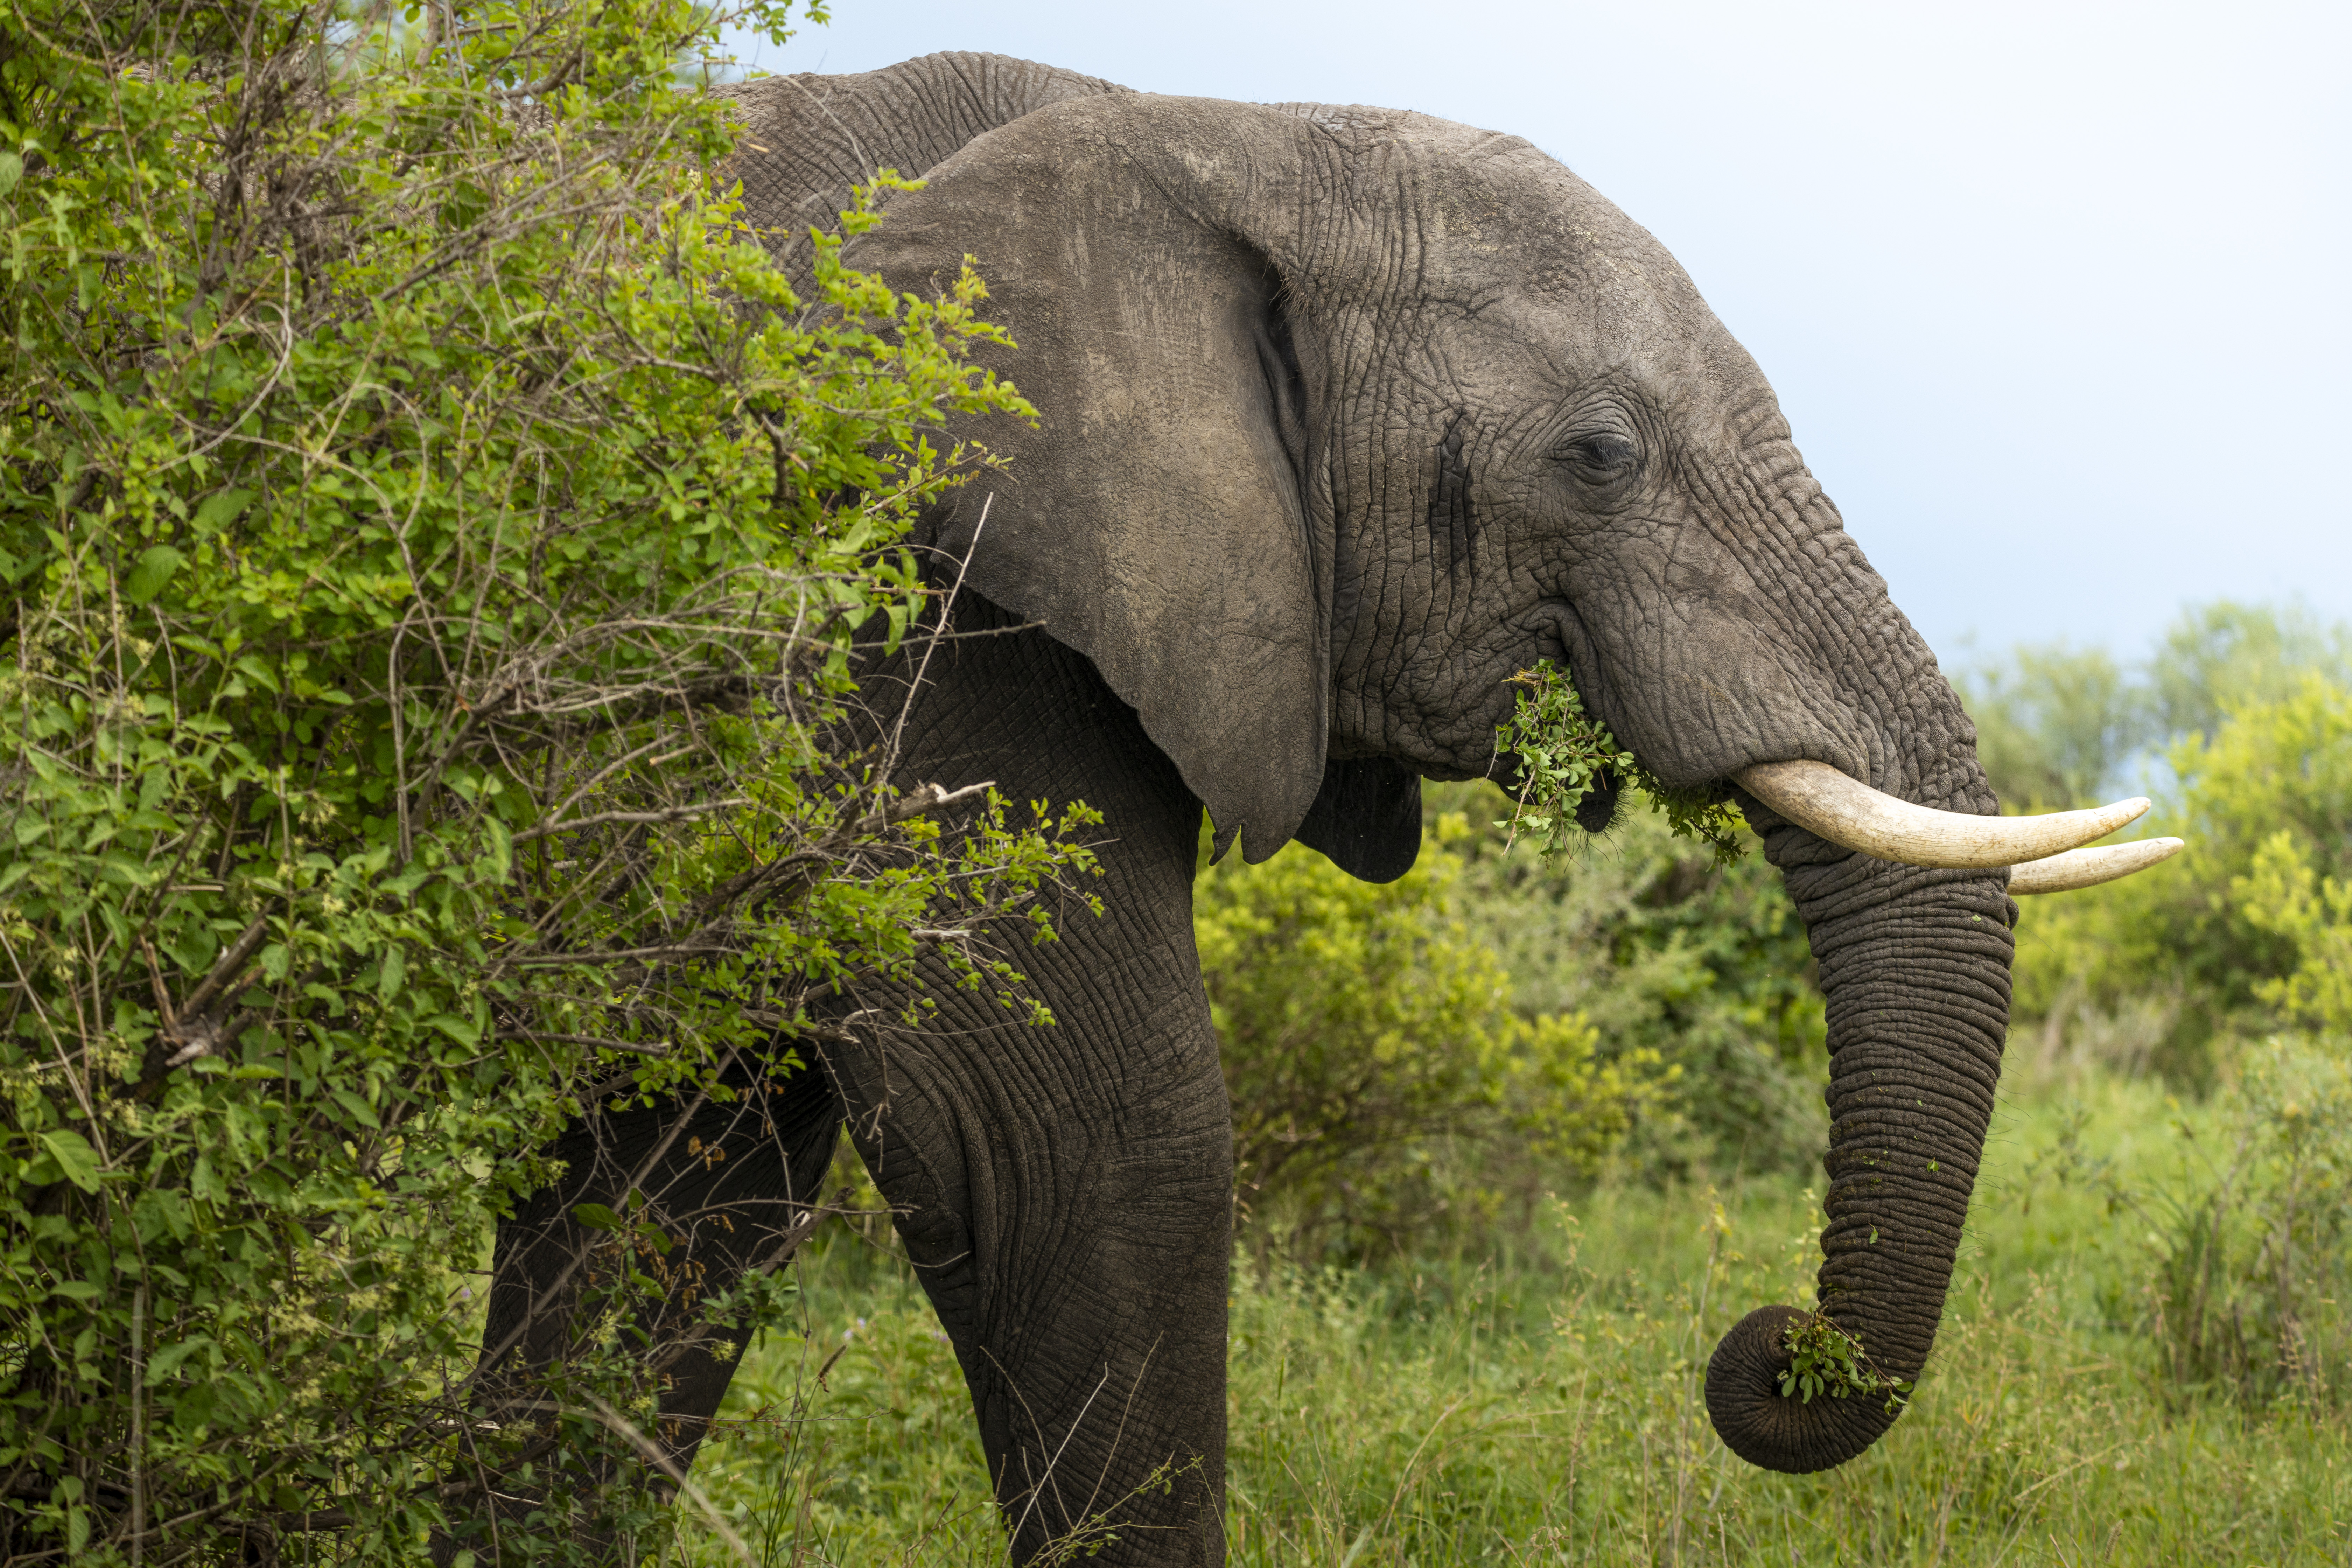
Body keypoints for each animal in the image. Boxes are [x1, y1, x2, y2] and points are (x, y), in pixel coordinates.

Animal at [457, 51, 2180, 1565]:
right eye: (1598, 455)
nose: (1768, 1346)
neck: (1203, 134)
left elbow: (671, 1189)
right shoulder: (897, 595)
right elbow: (1077, 1138)